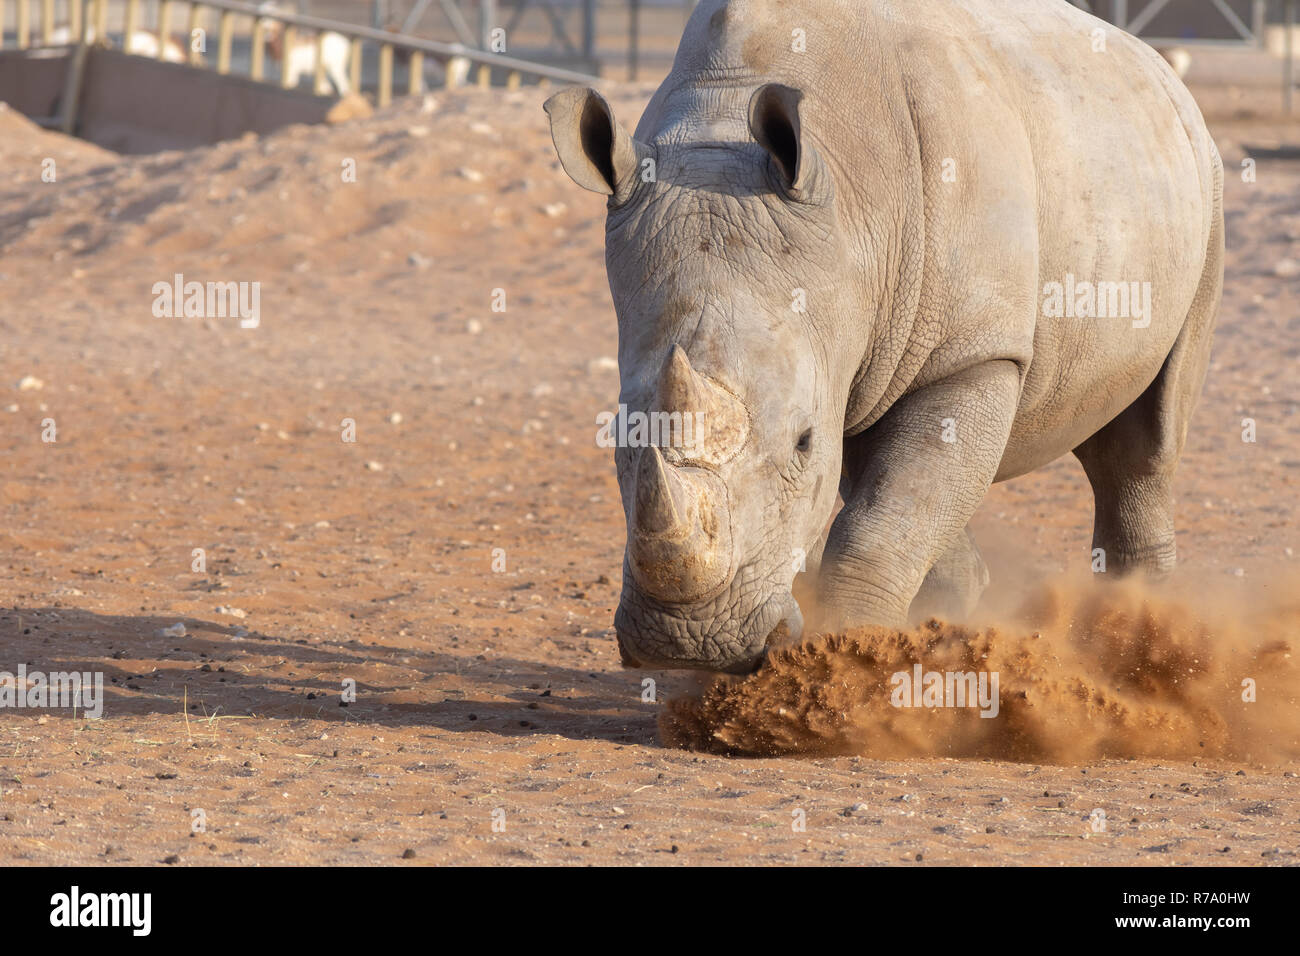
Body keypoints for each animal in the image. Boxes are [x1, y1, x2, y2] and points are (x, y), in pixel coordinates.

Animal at [543, 0, 1222, 671]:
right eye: (620, 436)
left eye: (803, 443)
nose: (691, 645)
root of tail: (1156, 67)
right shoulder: (854, 351)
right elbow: (904, 504)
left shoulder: (974, 354)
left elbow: (881, 520)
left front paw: (844, 660)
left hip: (1202, 182)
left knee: (1146, 443)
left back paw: (1139, 649)